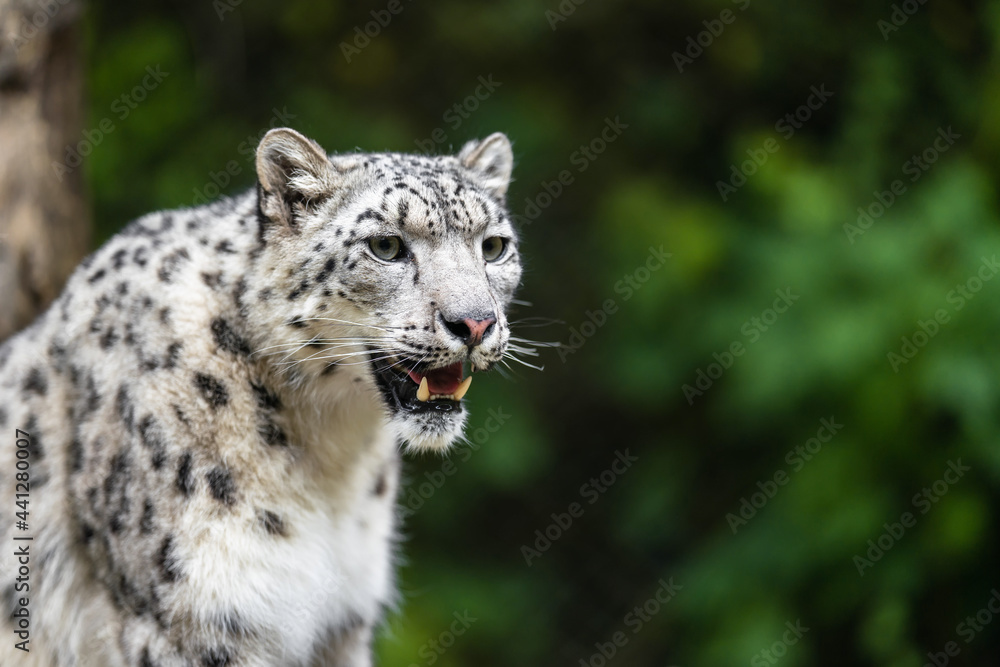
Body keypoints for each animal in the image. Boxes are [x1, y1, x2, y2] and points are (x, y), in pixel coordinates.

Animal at [0, 127, 522, 666]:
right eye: (386, 245)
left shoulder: (343, 624)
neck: (331, 461)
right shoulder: (190, 621)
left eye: (494, 246)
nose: (476, 322)